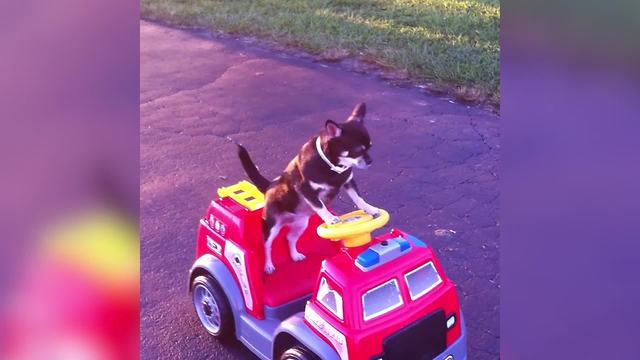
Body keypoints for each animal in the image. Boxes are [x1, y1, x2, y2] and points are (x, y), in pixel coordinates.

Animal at [239, 102, 380, 274]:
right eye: (358, 150)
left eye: (370, 147)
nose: (371, 161)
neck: (332, 166)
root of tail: (270, 186)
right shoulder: (305, 189)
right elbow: (319, 205)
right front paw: (329, 218)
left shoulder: (348, 182)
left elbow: (359, 199)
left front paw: (370, 209)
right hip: (271, 227)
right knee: (267, 246)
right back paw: (268, 265)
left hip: (300, 225)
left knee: (289, 238)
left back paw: (294, 255)